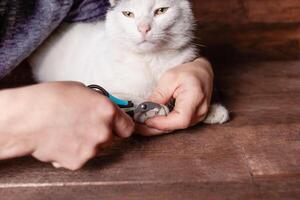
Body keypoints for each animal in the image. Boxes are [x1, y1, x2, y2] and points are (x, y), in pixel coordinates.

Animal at [28, 0, 230, 125]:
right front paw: (153, 108)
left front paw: (212, 109)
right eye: (128, 14)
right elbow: (131, 98)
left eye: (161, 11)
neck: (150, 60)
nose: (144, 28)